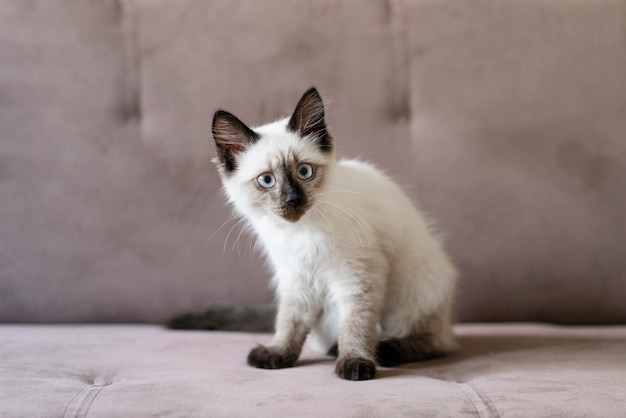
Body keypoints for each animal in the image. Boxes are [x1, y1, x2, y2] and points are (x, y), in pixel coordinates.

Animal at [207, 86, 456, 380]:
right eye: (267, 180)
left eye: (304, 172)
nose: (293, 200)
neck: (299, 232)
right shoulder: (296, 278)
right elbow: (290, 323)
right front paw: (278, 354)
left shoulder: (358, 275)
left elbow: (355, 325)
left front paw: (355, 364)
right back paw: (335, 348)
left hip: (417, 291)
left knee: (436, 342)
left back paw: (386, 350)